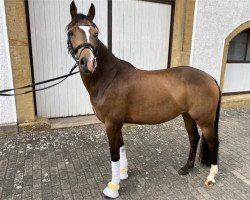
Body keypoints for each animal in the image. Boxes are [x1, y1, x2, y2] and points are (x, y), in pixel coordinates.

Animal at [66, 1, 221, 198]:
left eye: (96, 33)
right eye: (71, 32)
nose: (88, 63)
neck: (109, 78)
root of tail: (210, 77)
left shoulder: (111, 124)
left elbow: (114, 154)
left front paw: (113, 188)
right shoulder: (117, 123)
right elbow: (121, 148)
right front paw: (123, 175)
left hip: (205, 120)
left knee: (213, 142)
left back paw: (211, 177)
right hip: (187, 116)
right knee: (194, 138)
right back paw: (186, 168)